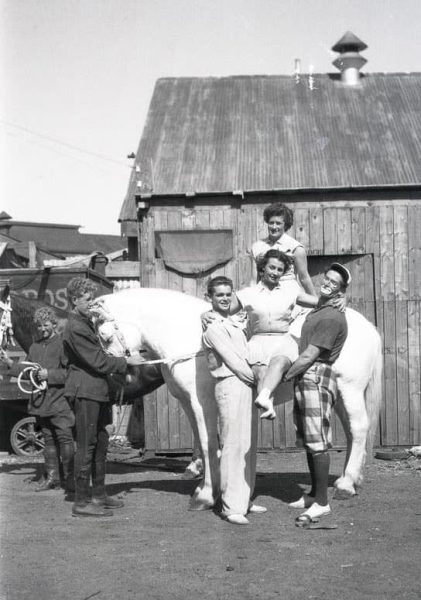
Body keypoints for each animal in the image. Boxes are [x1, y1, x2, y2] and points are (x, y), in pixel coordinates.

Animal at [91, 288, 380, 508]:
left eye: (105, 336)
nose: (114, 377)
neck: (191, 337)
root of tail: (369, 328)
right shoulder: (188, 403)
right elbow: (201, 441)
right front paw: (204, 487)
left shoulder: (202, 403)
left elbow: (208, 442)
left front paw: (207, 495)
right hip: (339, 392)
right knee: (352, 433)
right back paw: (348, 480)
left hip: (350, 389)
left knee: (358, 428)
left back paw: (345, 485)